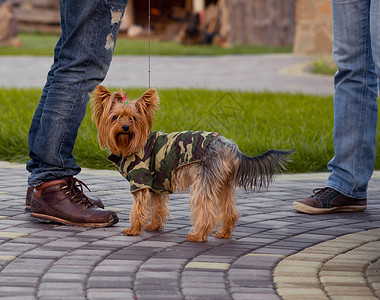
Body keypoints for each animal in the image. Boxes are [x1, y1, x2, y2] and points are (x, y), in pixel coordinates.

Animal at [92, 85, 290, 241]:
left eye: (133, 118)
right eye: (115, 117)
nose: (125, 127)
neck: (129, 144)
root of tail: (228, 146)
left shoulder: (140, 180)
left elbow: (138, 207)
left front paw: (134, 229)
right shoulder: (157, 183)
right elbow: (157, 207)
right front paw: (154, 226)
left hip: (203, 181)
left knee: (206, 211)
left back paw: (198, 235)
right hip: (223, 183)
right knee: (228, 209)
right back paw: (224, 233)